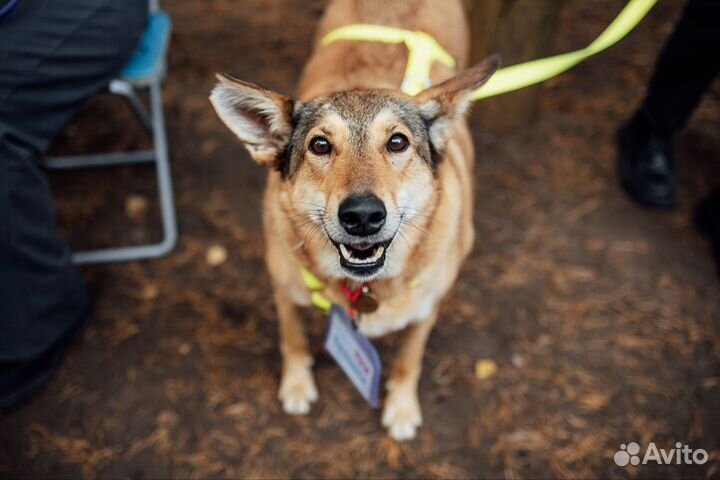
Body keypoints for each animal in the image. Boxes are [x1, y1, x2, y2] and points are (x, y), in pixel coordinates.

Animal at [211, 0, 498, 440]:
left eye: (397, 142)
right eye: (319, 145)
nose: (362, 215)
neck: (365, 290)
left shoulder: (427, 310)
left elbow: (409, 359)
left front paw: (401, 408)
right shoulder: (283, 289)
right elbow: (292, 339)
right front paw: (297, 385)